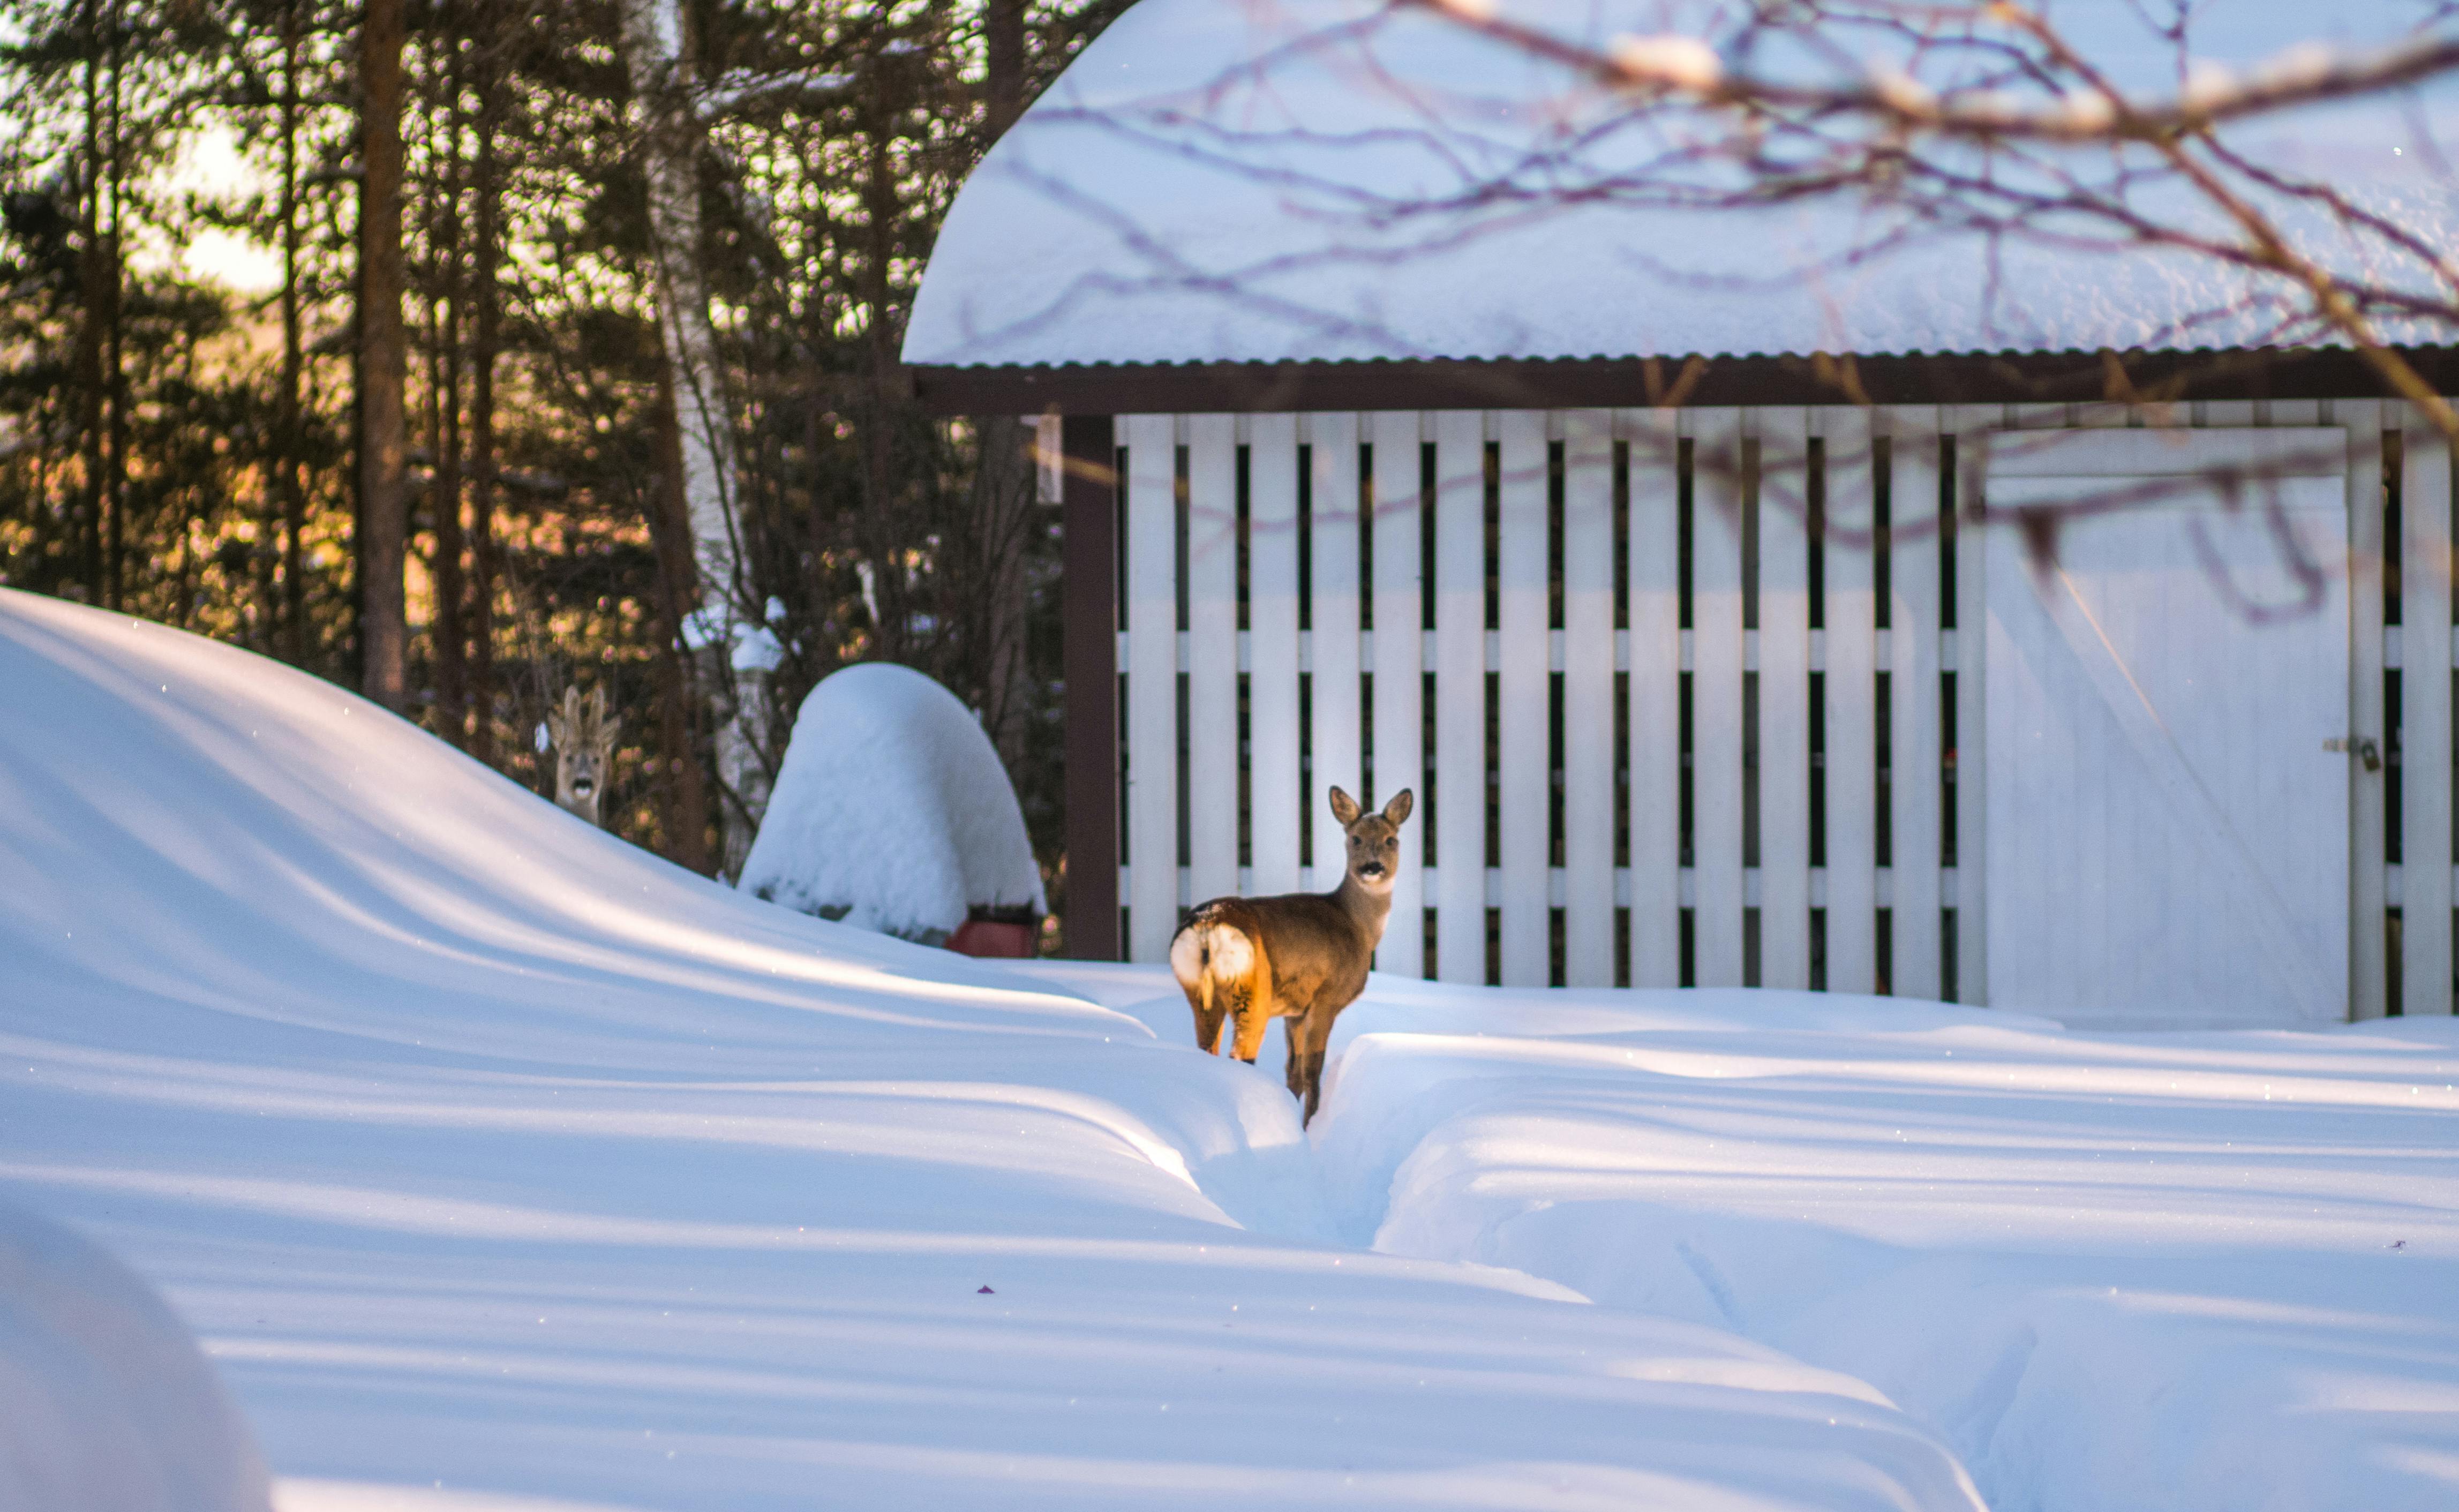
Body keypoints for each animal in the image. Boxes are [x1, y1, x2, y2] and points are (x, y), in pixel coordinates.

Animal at [1168, 786, 1413, 1126]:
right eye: (1355, 839)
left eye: (1391, 839)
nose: (1373, 868)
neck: (1358, 927)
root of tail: (1207, 926)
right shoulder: (1327, 997)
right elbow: (1312, 1071)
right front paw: (1309, 1125)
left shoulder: (1295, 1010)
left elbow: (1293, 1072)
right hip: (1251, 987)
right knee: (1241, 1054)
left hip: (1198, 990)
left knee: (1209, 1049)